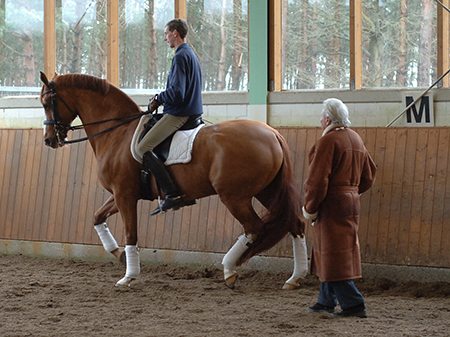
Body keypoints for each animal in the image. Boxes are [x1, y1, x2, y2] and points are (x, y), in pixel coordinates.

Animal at [39, 72, 306, 288]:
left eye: (46, 103)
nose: (49, 140)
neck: (118, 132)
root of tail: (272, 133)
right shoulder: (121, 194)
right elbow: (97, 217)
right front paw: (119, 255)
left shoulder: (124, 195)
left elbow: (131, 234)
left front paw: (129, 276)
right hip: (267, 191)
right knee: (295, 225)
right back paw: (294, 278)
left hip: (234, 196)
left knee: (255, 228)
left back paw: (229, 269)